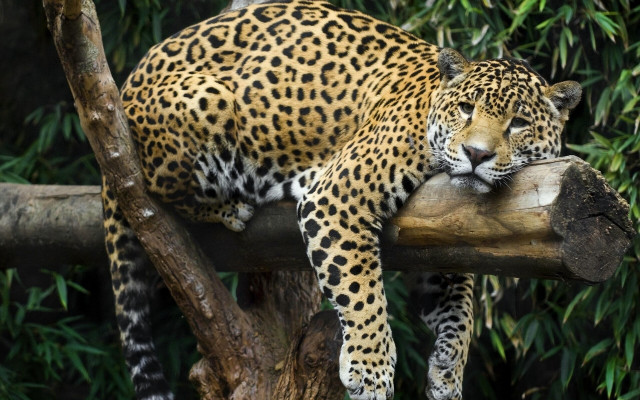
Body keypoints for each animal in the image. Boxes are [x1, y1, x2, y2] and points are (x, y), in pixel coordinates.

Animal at [101, 1, 582, 399]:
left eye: (517, 123)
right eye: (466, 109)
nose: (476, 154)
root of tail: (124, 88)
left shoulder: (437, 237)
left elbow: (460, 310)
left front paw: (448, 371)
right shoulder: (337, 197)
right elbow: (361, 288)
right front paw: (371, 370)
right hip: (207, 101)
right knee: (155, 187)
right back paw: (232, 205)